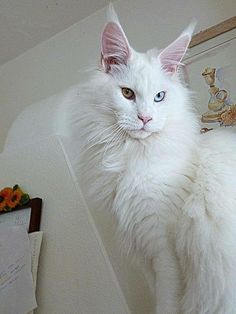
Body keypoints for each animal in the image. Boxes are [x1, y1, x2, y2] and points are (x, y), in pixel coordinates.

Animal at [70, 6, 236, 314]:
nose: (145, 118)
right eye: (127, 93)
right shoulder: (143, 252)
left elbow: (167, 303)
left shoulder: (164, 251)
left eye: (159, 97)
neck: (131, 157)